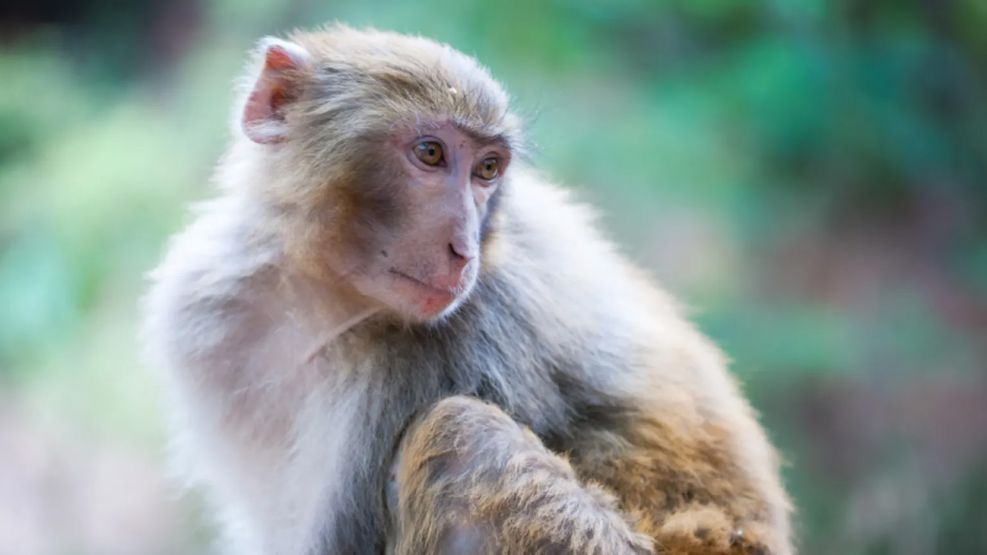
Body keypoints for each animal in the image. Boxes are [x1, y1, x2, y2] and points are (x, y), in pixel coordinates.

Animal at [141, 24, 793, 555]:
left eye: (487, 170)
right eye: (430, 153)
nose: (465, 249)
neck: (320, 296)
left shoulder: (445, 351)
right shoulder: (206, 313)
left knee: (463, 437)